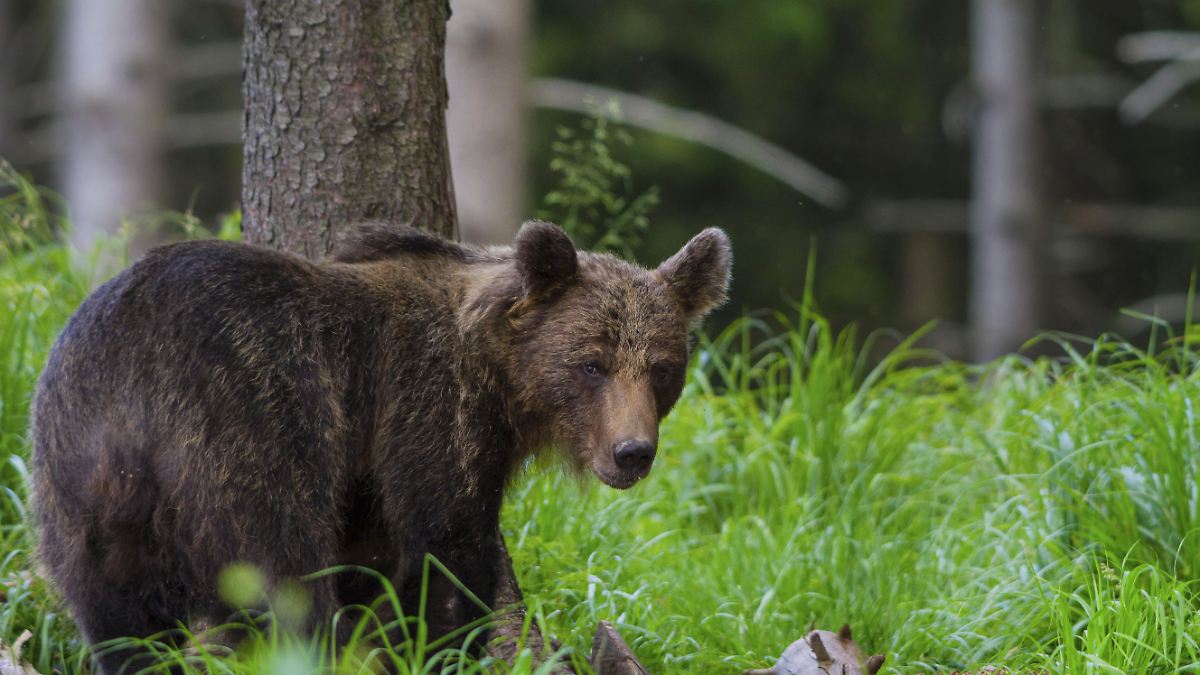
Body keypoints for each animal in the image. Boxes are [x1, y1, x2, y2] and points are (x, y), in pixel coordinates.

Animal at [30, 220, 731, 673]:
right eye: (592, 363)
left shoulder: (366, 472)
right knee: (281, 574)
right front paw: (443, 645)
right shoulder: (427, 408)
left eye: (661, 368)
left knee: (114, 612)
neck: (501, 382)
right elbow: (448, 547)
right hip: (244, 422)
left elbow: (370, 562)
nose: (632, 452)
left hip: (78, 475)